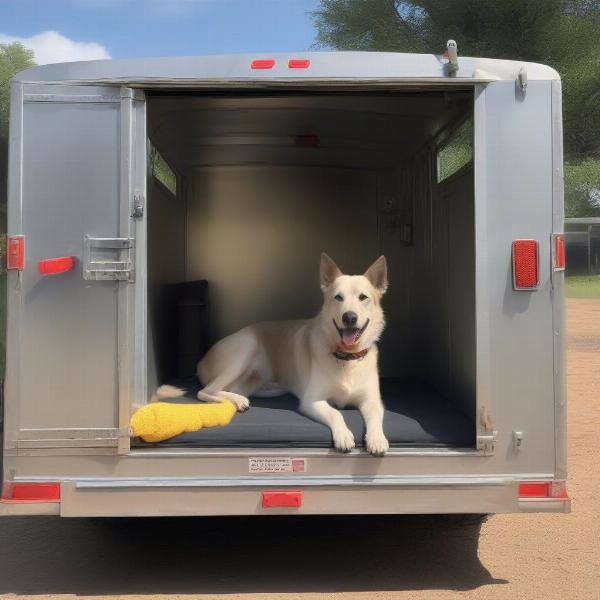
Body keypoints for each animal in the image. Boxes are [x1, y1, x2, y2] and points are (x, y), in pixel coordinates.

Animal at [159, 252, 392, 454]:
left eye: (363, 297)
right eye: (338, 298)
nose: (349, 317)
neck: (347, 359)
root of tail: (202, 359)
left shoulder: (372, 401)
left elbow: (375, 417)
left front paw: (377, 439)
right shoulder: (312, 401)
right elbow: (335, 413)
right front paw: (343, 434)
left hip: (259, 384)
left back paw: (237, 398)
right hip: (246, 347)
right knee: (206, 391)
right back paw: (237, 401)